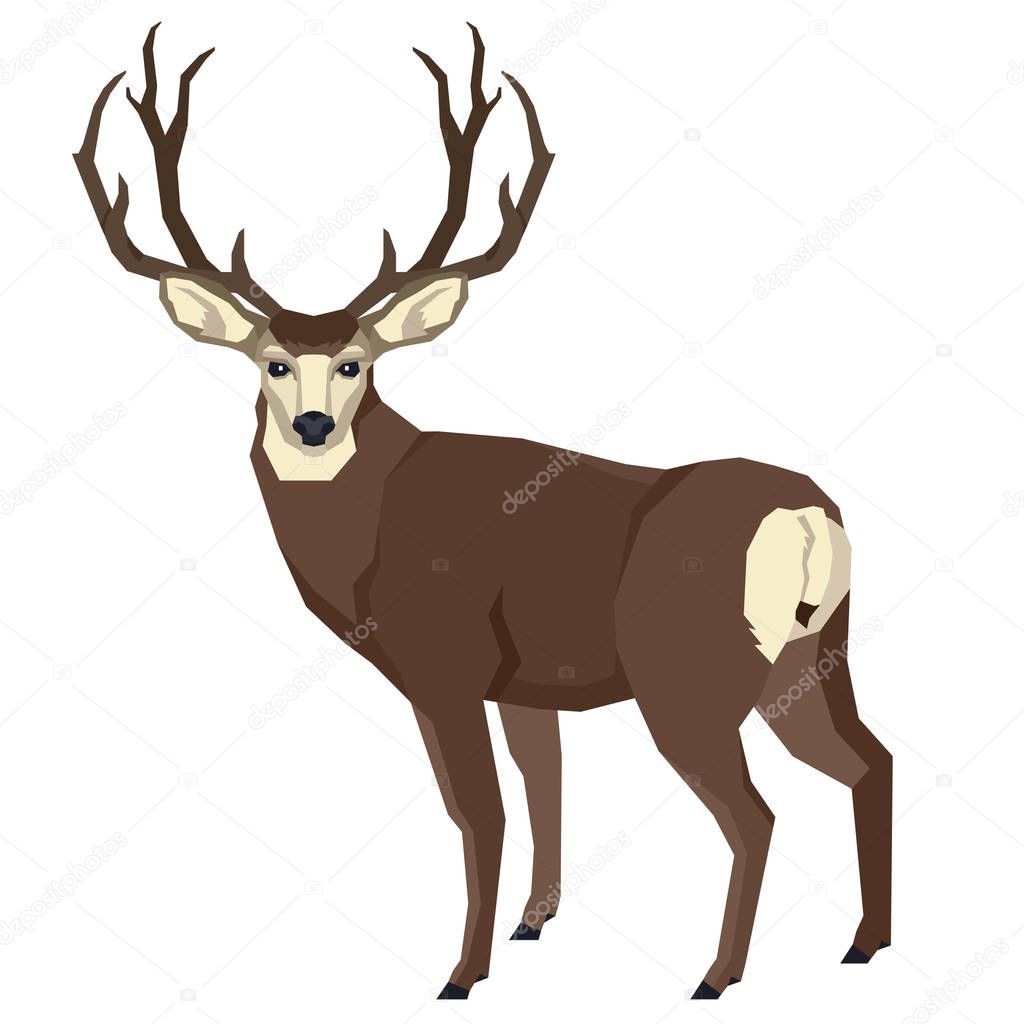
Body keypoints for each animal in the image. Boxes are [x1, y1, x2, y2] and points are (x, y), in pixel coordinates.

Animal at [75, 23, 893, 1001]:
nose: (312, 425)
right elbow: (547, 785)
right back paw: (865, 942)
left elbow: (479, 813)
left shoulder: (446, 661)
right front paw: (533, 924)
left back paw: (716, 975)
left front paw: (463, 972)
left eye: (354, 362)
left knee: (754, 812)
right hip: (811, 657)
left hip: (687, 672)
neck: (368, 542)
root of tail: (808, 517)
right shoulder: (526, 682)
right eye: (272, 361)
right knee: (870, 760)